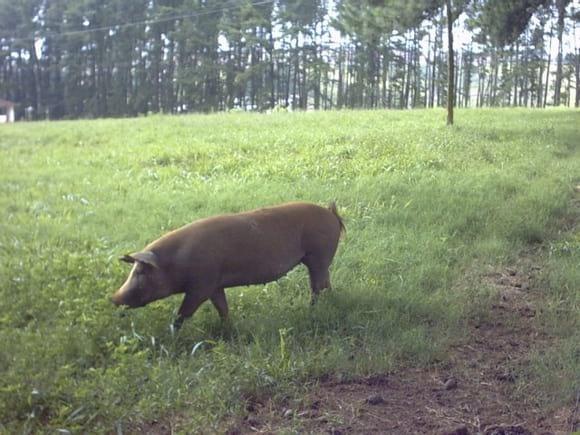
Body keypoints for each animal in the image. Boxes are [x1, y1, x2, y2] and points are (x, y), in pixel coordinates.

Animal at [112, 203, 344, 328]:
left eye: (140, 271)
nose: (114, 298)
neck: (175, 262)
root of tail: (331, 214)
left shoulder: (201, 286)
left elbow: (182, 314)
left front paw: (173, 334)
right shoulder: (215, 286)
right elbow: (222, 309)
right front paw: (227, 326)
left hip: (318, 255)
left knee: (316, 287)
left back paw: (311, 310)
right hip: (320, 260)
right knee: (325, 282)